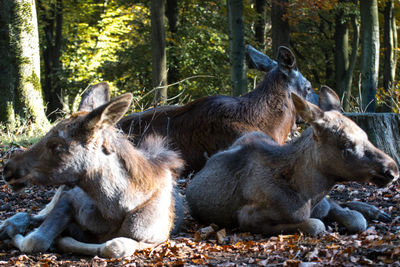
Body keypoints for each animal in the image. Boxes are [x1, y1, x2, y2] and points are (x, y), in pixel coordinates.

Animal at [0, 93, 184, 258]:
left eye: (57, 145)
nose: (7, 169)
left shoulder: (157, 238)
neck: (116, 209)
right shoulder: (68, 199)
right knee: (28, 215)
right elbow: (35, 240)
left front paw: (63, 239)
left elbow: (114, 246)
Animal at [186, 87, 398, 237]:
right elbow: (316, 225)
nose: (392, 170)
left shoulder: (322, 204)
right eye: (345, 143)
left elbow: (356, 219)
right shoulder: (247, 217)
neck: (308, 194)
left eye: (366, 135)